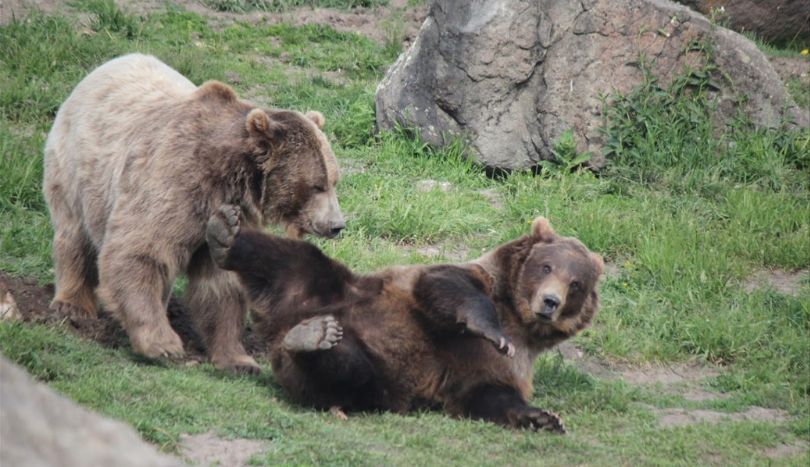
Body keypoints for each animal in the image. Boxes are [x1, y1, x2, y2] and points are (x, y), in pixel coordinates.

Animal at [43, 53, 344, 372]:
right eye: (318, 185)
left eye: (334, 181)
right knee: (74, 234)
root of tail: (110, 63)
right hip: (75, 166)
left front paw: (238, 359)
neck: (231, 178)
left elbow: (221, 285)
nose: (337, 224)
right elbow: (138, 249)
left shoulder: (226, 213)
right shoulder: (175, 183)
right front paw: (162, 344)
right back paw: (73, 305)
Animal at [205, 207, 604, 434]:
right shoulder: (464, 280)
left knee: (347, 370)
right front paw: (488, 329)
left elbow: (489, 395)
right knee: (290, 256)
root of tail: (279, 325)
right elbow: (445, 287)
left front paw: (544, 418)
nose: (550, 302)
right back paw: (225, 233)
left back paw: (312, 337)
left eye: (576, 283)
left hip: (379, 374)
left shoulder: (507, 366)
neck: (520, 322)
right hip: (328, 286)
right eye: (547, 266)